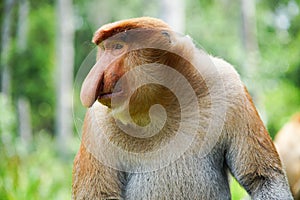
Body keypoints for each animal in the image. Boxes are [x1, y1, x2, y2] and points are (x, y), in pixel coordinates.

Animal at [72, 17, 292, 200]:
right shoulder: (97, 123)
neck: (161, 102)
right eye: (104, 50)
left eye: (118, 47)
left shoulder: (228, 85)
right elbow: (97, 194)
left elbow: (262, 178)